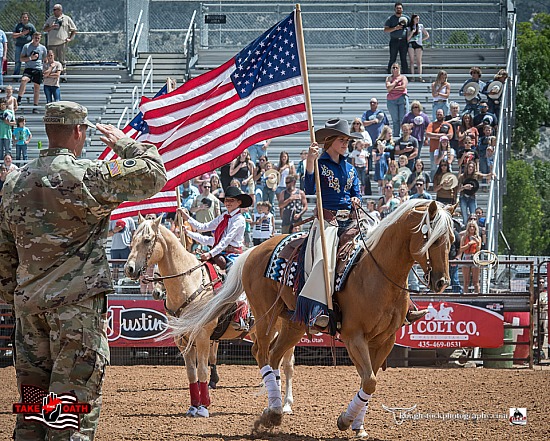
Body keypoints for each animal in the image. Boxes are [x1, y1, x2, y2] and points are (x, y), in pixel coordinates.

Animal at [125, 216, 298, 416]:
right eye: (132, 240)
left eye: (147, 240)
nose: (129, 269)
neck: (189, 284)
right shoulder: (182, 340)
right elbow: (191, 372)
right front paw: (193, 406)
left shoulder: (202, 337)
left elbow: (202, 370)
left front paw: (204, 406)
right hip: (259, 332)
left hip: (285, 330)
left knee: (288, 365)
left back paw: (286, 404)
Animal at [170, 200, 454, 436]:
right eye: (431, 238)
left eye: (451, 239)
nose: (442, 282)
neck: (376, 273)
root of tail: (255, 250)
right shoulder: (354, 337)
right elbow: (370, 380)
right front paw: (346, 420)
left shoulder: (385, 340)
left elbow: (369, 380)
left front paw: (358, 425)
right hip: (265, 315)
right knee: (261, 354)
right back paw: (274, 411)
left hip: (292, 323)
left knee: (274, 357)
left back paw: (274, 409)